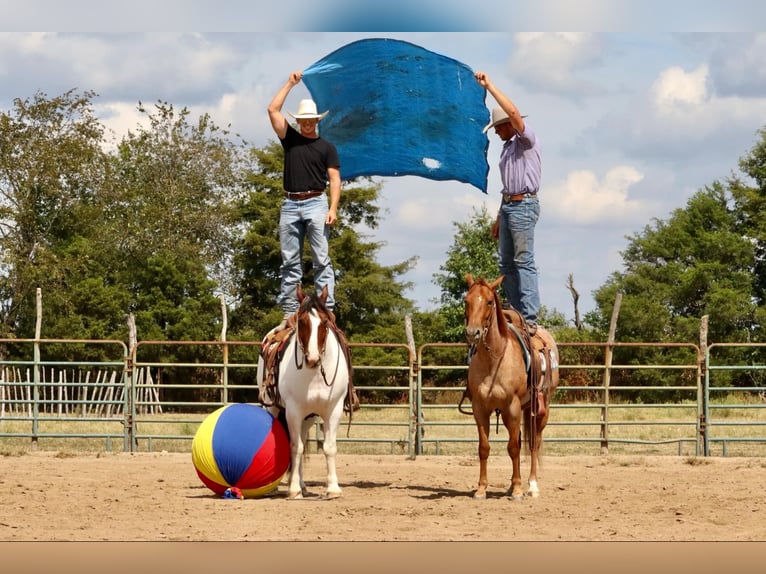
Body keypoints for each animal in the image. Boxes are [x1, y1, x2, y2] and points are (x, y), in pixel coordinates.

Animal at [464, 274, 560, 500]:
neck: (495, 358)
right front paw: (481, 488)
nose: (473, 333)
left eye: (489, 301)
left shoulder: (513, 407)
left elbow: (514, 448)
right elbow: (484, 447)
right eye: (466, 301)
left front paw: (517, 489)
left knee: (534, 443)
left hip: (540, 409)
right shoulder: (480, 409)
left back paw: (532, 485)